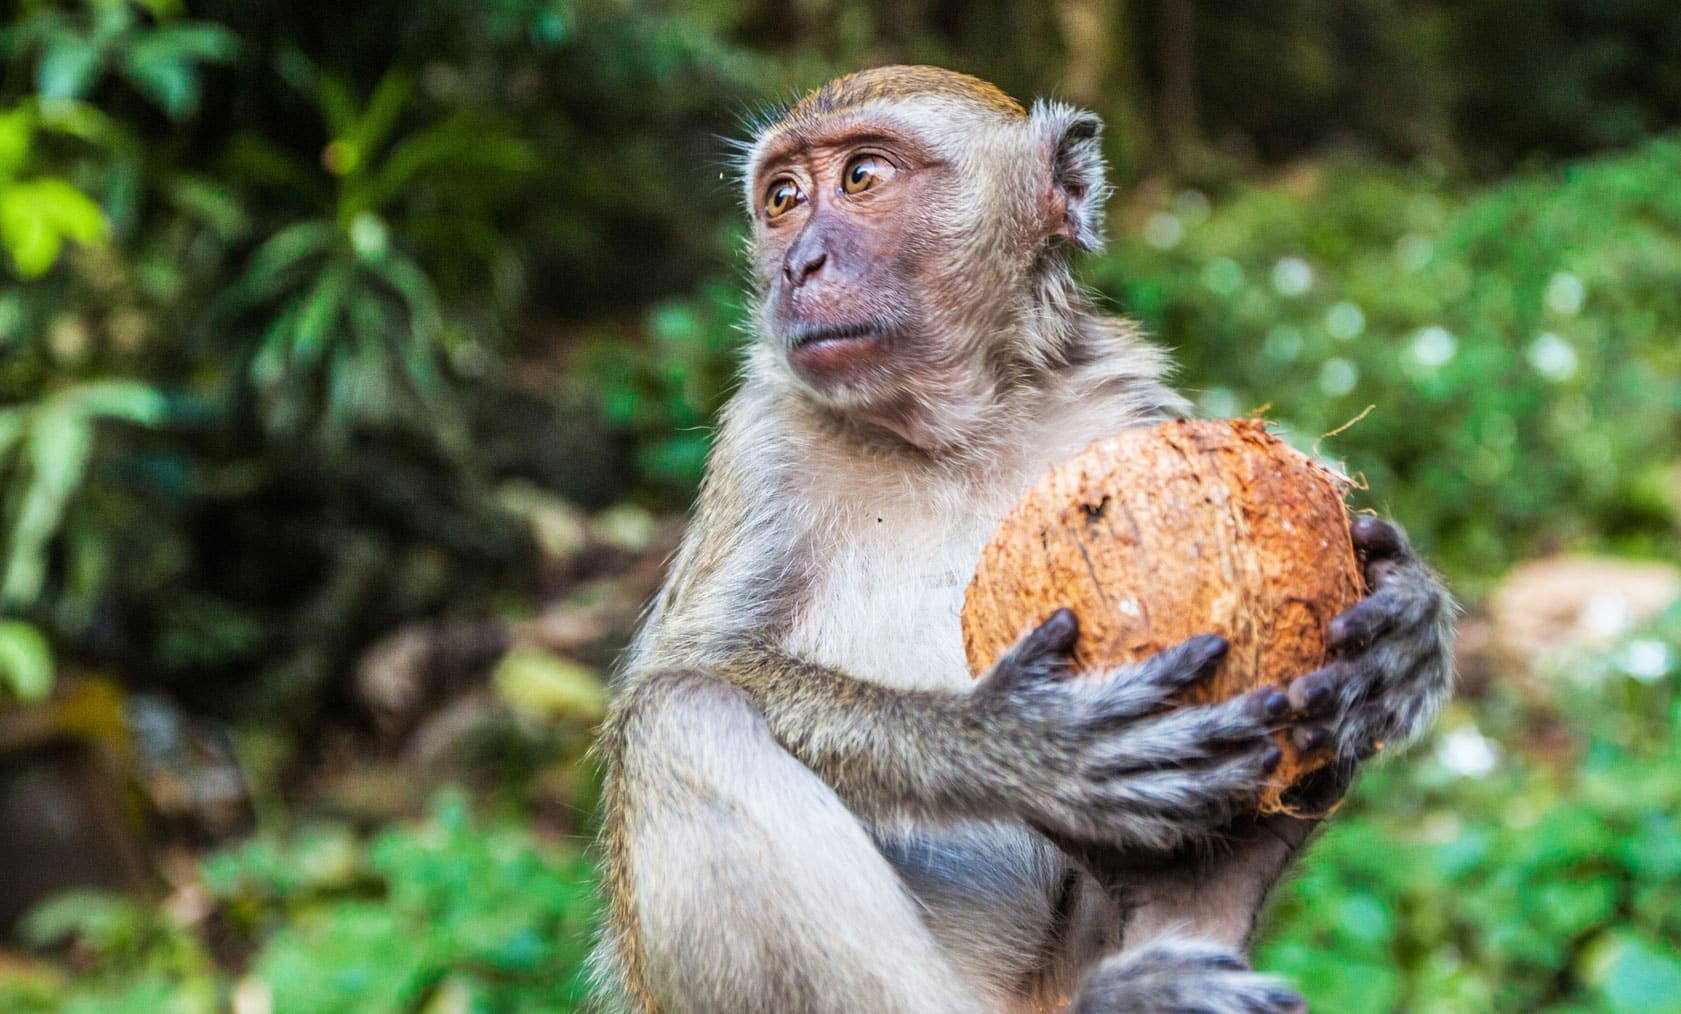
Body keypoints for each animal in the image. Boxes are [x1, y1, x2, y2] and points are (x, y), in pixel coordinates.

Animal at [595, 65, 1459, 1014]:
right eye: (782, 199)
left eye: (861, 177)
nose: (797, 264)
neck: (952, 432)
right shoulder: (763, 444)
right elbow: (690, 665)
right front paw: (1014, 743)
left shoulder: (1125, 407)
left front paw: (1408, 621)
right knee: (683, 718)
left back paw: (1196, 898)